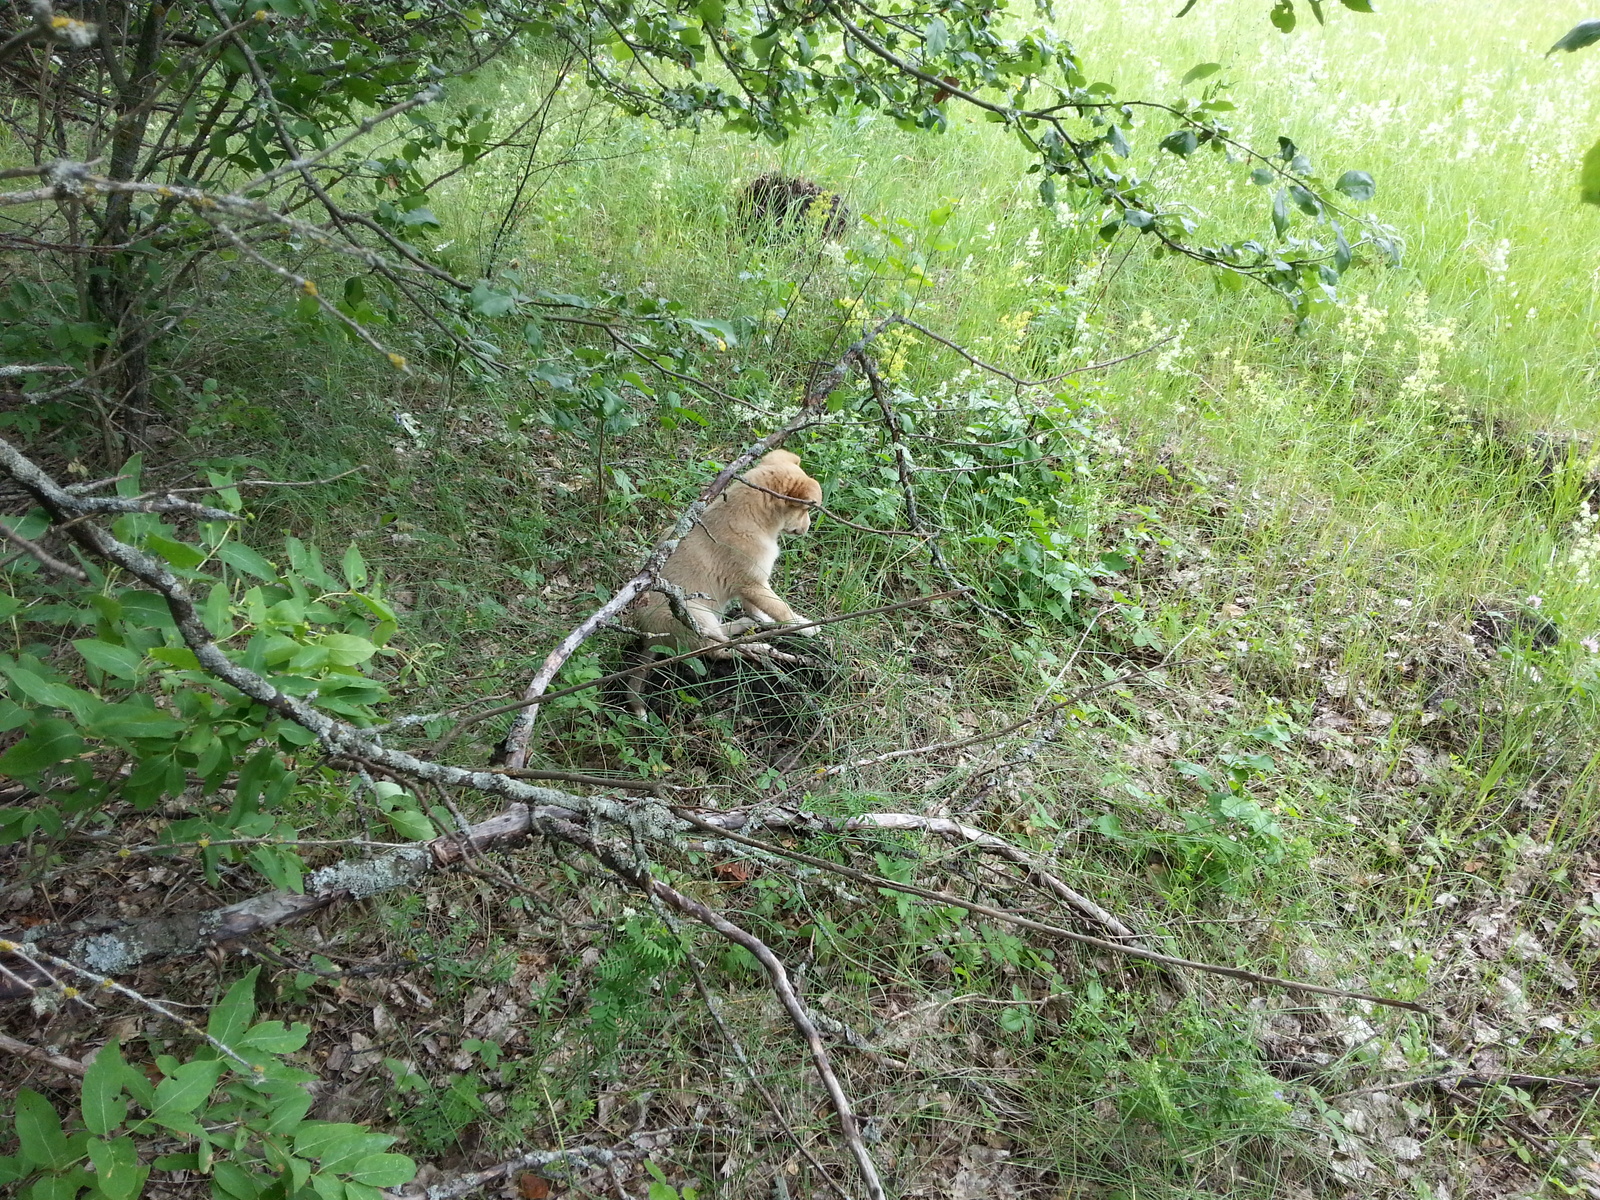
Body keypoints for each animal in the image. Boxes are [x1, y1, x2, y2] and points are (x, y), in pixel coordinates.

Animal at [624, 448, 825, 713]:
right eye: (806, 511)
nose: (808, 528)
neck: (750, 516)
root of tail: (650, 638)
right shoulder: (752, 583)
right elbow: (781, 608)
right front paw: (806, 626)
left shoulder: (749, 584)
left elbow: (759, 609)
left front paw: (762, 620)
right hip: (693, 614)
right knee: (718, 651)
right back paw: (759, 649)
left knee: (721, 636)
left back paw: (745, 626)